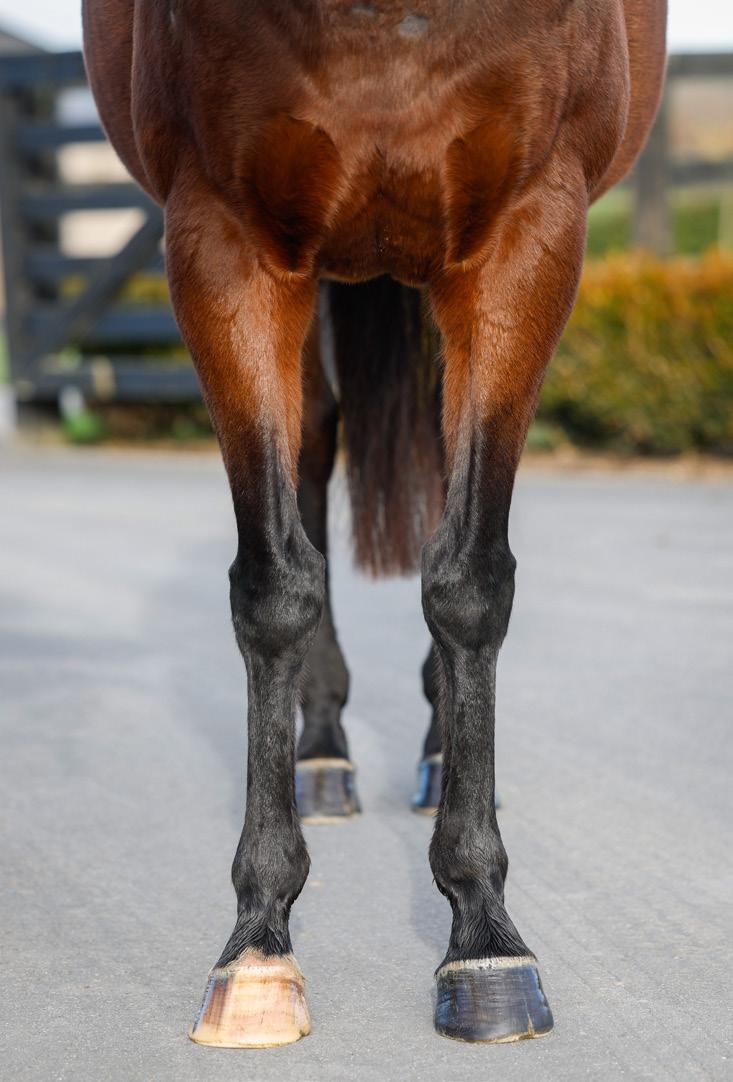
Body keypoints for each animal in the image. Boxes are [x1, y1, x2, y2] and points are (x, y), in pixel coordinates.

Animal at [83, 0, 667, 1048]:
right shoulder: (221, 237)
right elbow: (275, 587)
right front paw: (257, 945)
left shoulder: (528, 233)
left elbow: (468, 580)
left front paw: (485, 937)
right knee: (315, 449)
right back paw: (320, 754)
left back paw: (439, 755)